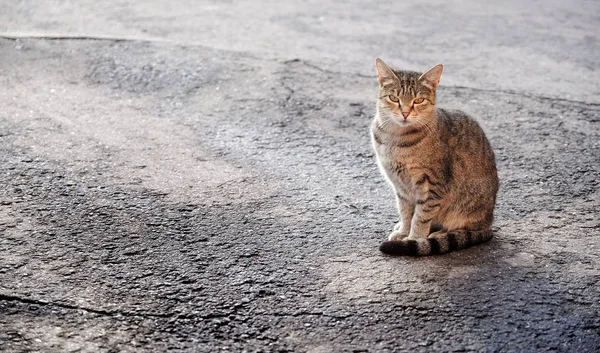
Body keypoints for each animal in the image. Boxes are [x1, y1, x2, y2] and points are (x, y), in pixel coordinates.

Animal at [372, 58, 500, 256]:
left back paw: (438, 234)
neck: (395, 138)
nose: (405, 113)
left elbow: (421, 216)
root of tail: (489, 223)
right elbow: (406, 212)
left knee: (464, 229)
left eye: (418, 100)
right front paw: (404, 231)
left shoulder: (432, 185)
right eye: (394, 98)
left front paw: (414, 238)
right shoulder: (400, 186)